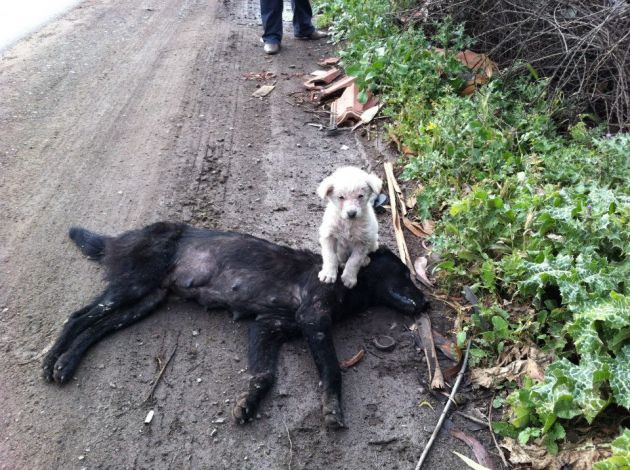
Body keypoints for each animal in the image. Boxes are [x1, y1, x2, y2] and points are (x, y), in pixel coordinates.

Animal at [43, 222, 430, 428]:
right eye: (405, 273)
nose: (427, 302)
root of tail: (119, 238)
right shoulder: (313, 320)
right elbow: (333, 371)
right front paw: (332, 410)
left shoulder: (266, 326)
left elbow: (264, 375)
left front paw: (249, 404)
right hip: (132, 287)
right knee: (80, 317)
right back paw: (51, 361)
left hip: (145, 300)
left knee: (97, 327)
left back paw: (67, 363)